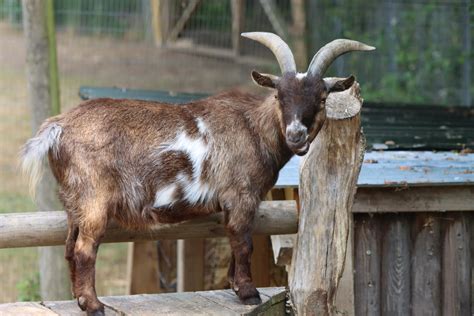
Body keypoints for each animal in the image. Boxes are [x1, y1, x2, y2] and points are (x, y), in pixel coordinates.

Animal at [20, 32, 372, 316]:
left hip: (73, 199)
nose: (296, 134)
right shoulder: (241, 195)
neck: (253, 128)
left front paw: (235, 286)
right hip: (93, 198)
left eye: (322, 99)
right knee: (84, 249)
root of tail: (58, 127)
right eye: (279, 96)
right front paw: (248, 294)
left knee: (69, 246)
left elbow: (234, 239)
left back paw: (79, 300)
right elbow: (243, 241)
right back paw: (93, 305)